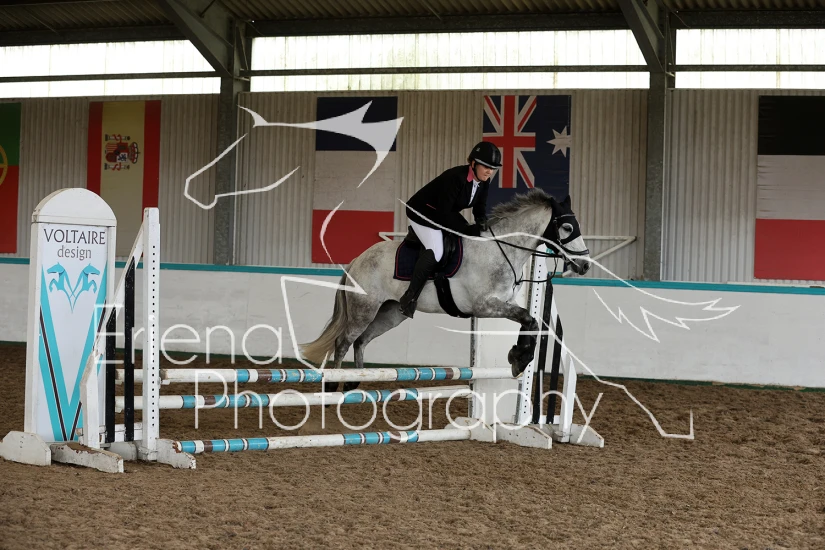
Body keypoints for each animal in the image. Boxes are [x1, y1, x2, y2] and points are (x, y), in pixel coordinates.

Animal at [300, 189, 591, 391]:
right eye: (567, 227)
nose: (586, 264)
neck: (502, 250)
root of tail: (357, 260)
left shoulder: (503, 304)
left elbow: (530, 322)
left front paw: (519, 357)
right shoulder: (485, 306)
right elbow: (529, 319)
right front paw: (519, 358)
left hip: (391, 313)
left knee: (361, 341)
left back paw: (354, 381)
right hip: (364, 309)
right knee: (343, 342)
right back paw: (333, 385)